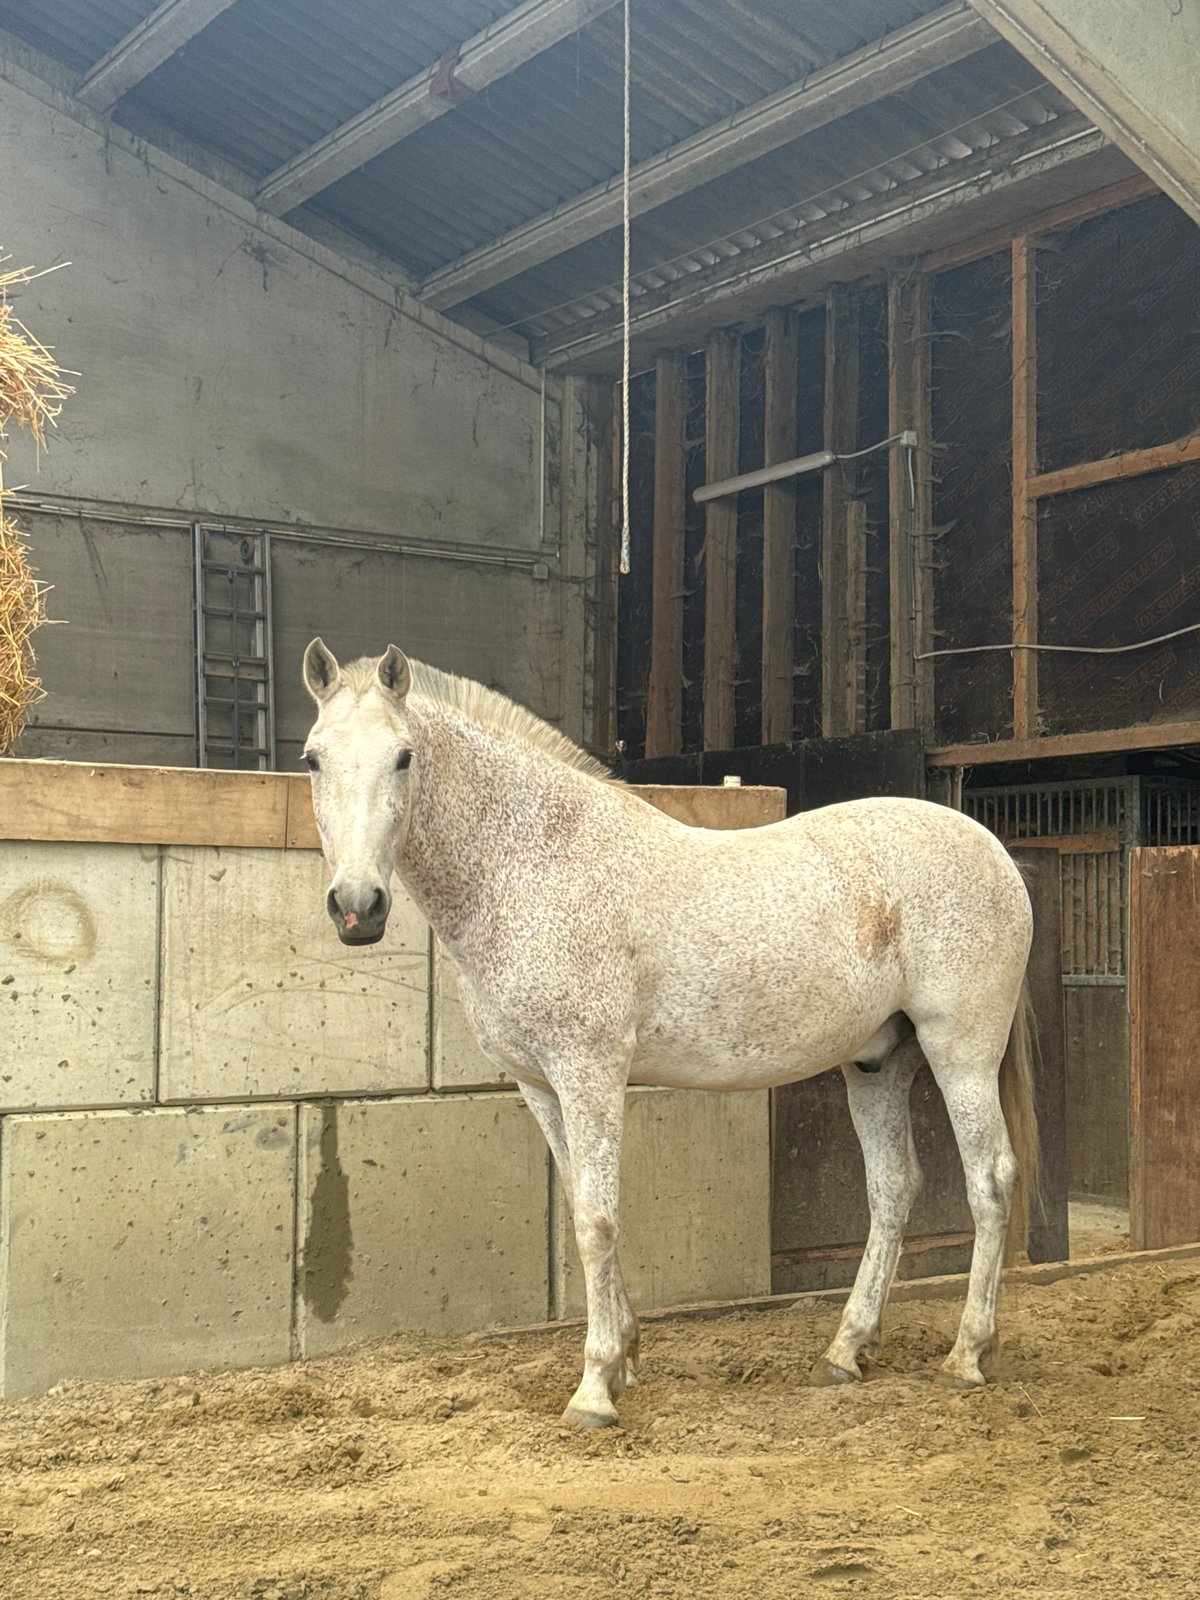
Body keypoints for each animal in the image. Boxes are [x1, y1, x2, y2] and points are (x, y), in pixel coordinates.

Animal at [300, 638, 1039, 1429]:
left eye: (404, 756)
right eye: (313, 758)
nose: (356, 906)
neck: (535, 862)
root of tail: (994, 850)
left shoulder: (590, 1073)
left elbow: (596, 1221)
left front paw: (595, 1387)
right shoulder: (540, 1086)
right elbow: (581, 1206)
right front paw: (625, 1355)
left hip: (960, 1052)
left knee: (990, 1181)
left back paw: (967, 1354)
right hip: (876, 1064)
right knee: (894, 1189)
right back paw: (847, 1350)